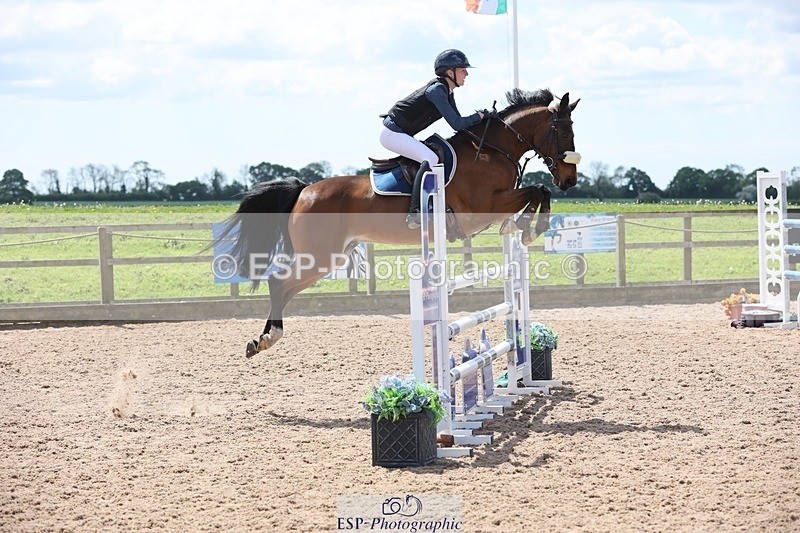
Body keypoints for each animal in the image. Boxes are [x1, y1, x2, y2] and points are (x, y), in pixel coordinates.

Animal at [217, 88, 581, 357]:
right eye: (564, 131)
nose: (570, 180)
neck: (490, 150)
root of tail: (304, 190)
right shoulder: (482, 208)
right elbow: (537, 189)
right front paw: (529, 228)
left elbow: (537, 191)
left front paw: (522, 227)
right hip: (320, 256)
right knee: (278, 282)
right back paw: (267, 338)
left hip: (327, 258)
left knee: (283, 286)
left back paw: (262, 340)